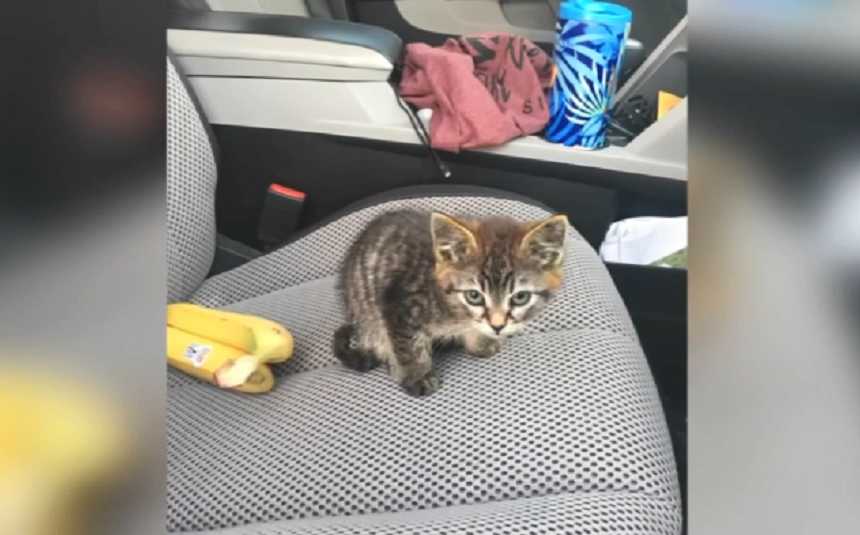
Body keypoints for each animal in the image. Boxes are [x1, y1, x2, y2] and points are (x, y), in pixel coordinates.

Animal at [336, 209, 572, 398]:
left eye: (520, 297)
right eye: (474, 296)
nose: (497, 326)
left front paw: (481, 343)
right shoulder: (399, 302)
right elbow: (408, 346)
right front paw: (416, 376)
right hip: (366, 313)